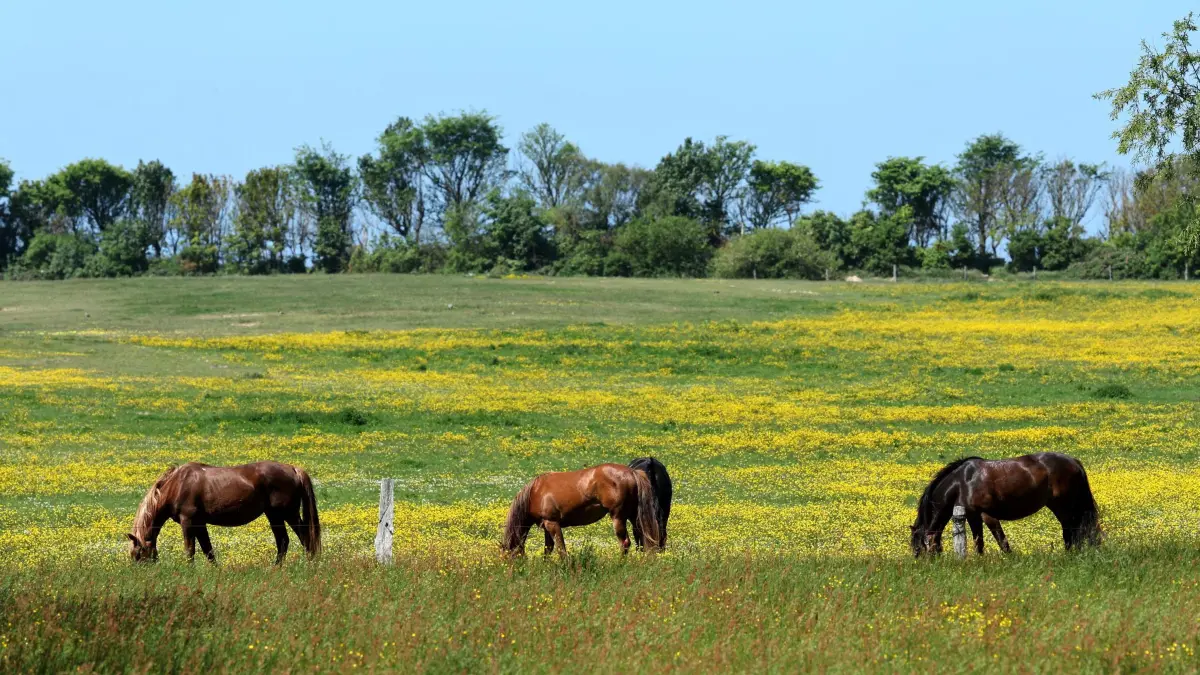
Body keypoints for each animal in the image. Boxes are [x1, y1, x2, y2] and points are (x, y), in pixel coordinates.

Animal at [127, 461, 321, 564]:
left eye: (137, 554)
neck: (178, 484)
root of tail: (294, 469)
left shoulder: (188, 521)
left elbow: (190, 550)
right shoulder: (200, 523)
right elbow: (208, 550)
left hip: (287, 514)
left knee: (305, 537)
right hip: (274, 515)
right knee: (283, 541)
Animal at [501, 463, 662, 557]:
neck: (536, 492)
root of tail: (632, 472)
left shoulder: (552, 524)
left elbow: (561, 548)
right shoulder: (547, 525)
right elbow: (548, 549)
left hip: (618, 517)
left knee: (625, 543)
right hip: (634, 517)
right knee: (642, 541)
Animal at [910, 452, 1101, 557]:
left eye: (919, 547)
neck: (963, 481)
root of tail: (1074, 462)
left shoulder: (984, 515)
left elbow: (994, 541)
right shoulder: (976, 516)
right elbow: (986, 541)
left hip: (1063, 507)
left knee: (1071, 532)